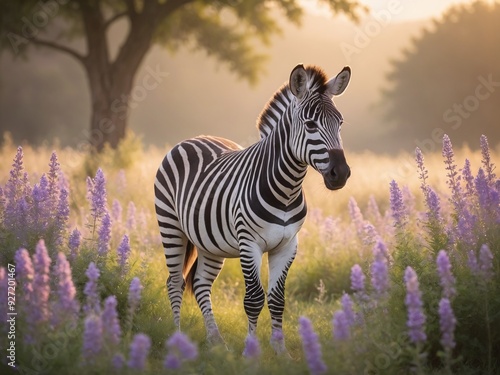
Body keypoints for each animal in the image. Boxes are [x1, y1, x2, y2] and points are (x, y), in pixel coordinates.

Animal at [154, 63, 350, 354]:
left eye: (340, 123)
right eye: (310, 124)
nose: (342, 174)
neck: (287, 190)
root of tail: (193, 139)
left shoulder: (288, 245)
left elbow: (277, 299)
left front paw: (281, 352)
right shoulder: (249, 243)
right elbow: (254, 299)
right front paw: (251, 352)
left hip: (210, 242)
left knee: (200, 284)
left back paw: (216, 342)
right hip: (170, 226)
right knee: (175, 282)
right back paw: (177, 342)